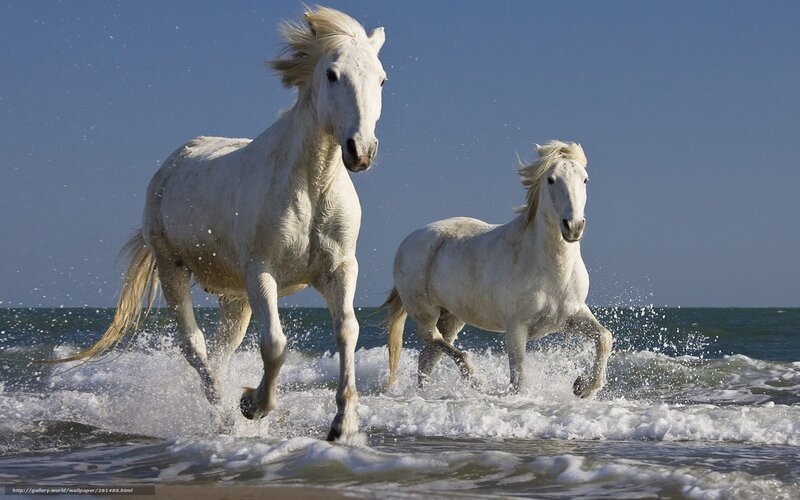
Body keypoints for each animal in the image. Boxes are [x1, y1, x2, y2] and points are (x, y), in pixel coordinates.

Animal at [55, 7, 387, 442]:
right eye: (332, 74)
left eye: (381, 78)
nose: (360, 151)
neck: (311, 185)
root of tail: (173, 163)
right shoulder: (261, 272)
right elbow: (275, 344)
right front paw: (252, 405)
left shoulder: (340, 269)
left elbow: (347, 330)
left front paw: (342, 425)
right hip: (174, 270)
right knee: (194, 346)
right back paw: (226, 415)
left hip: (235, 297)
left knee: (219, 352)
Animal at [383, 141, 613, 398]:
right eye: (551, 179)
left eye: (585, 179)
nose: (573, 226)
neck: (552, 272)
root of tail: (407, 241)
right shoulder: (516, 328)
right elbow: (519, 377)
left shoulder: (571, 316)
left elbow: (604, 337)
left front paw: (583, 387)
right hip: (425, 312)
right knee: (433, 339)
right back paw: (472, 378)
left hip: (451, 318)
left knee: (428, 357)